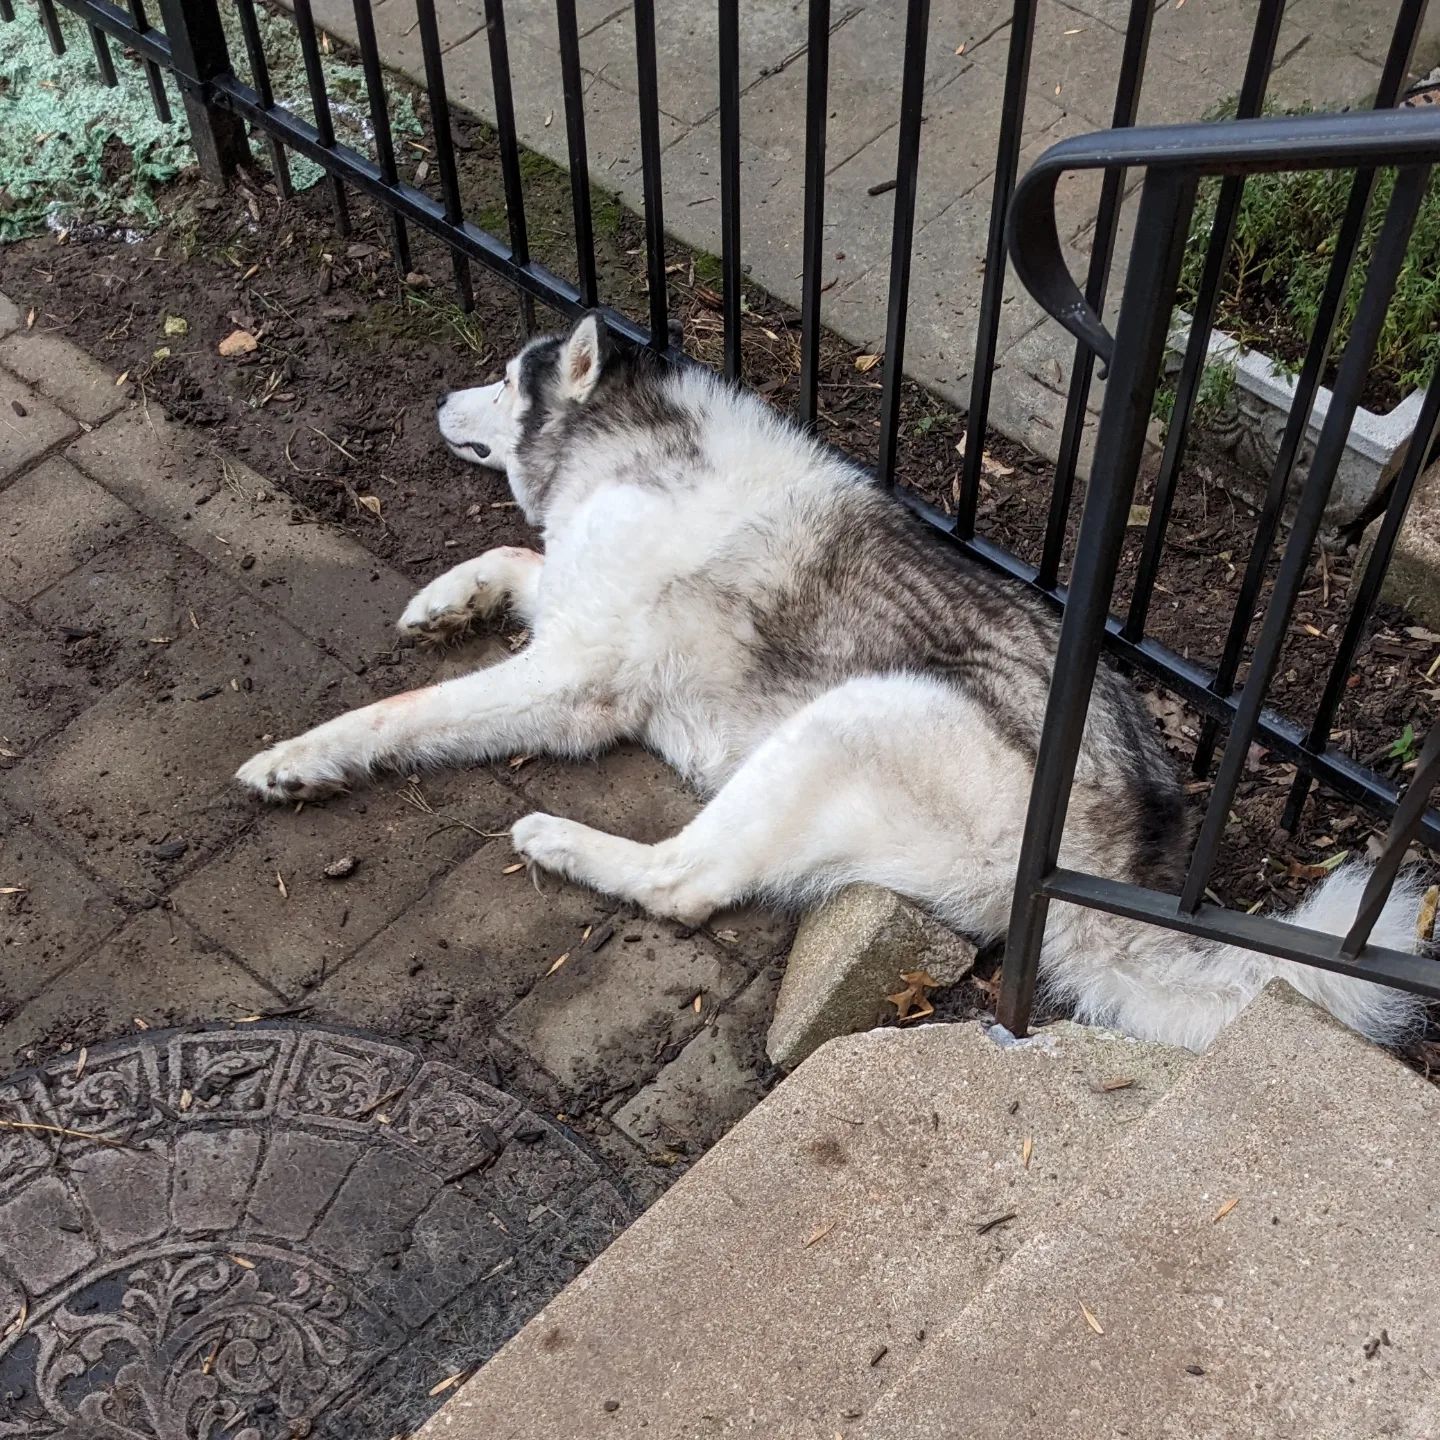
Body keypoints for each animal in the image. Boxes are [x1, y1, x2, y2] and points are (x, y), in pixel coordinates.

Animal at [236, 315, 1416, 1054]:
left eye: (500, 379)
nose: (444, 396)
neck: (631, 447)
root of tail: (1110, 867)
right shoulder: (569, 612)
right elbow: (514, 558)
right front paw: (445, 601)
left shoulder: (573, 678)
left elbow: (403, 711)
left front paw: (300, 759)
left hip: (849, 715)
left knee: (683, 883)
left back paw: (563, 842)